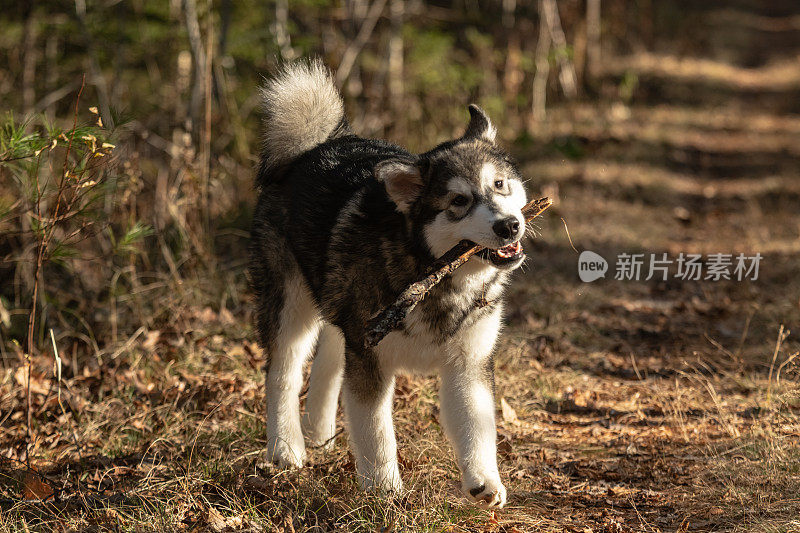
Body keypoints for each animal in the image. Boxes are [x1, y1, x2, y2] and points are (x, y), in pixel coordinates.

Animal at [247, 59, 528, 508]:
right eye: (458, 202)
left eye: (499, 184)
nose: (509, 225)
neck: (435, 278)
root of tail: (311, 149)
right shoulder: (370, 362)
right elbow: (377, 434)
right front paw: (384, 493)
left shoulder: (468, 363)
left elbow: (477, 426)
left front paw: (484, 480)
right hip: (291, 309)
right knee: (282, 372)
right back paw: (287, 449)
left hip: (340, 313)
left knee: (328, 362)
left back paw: (319, 434)